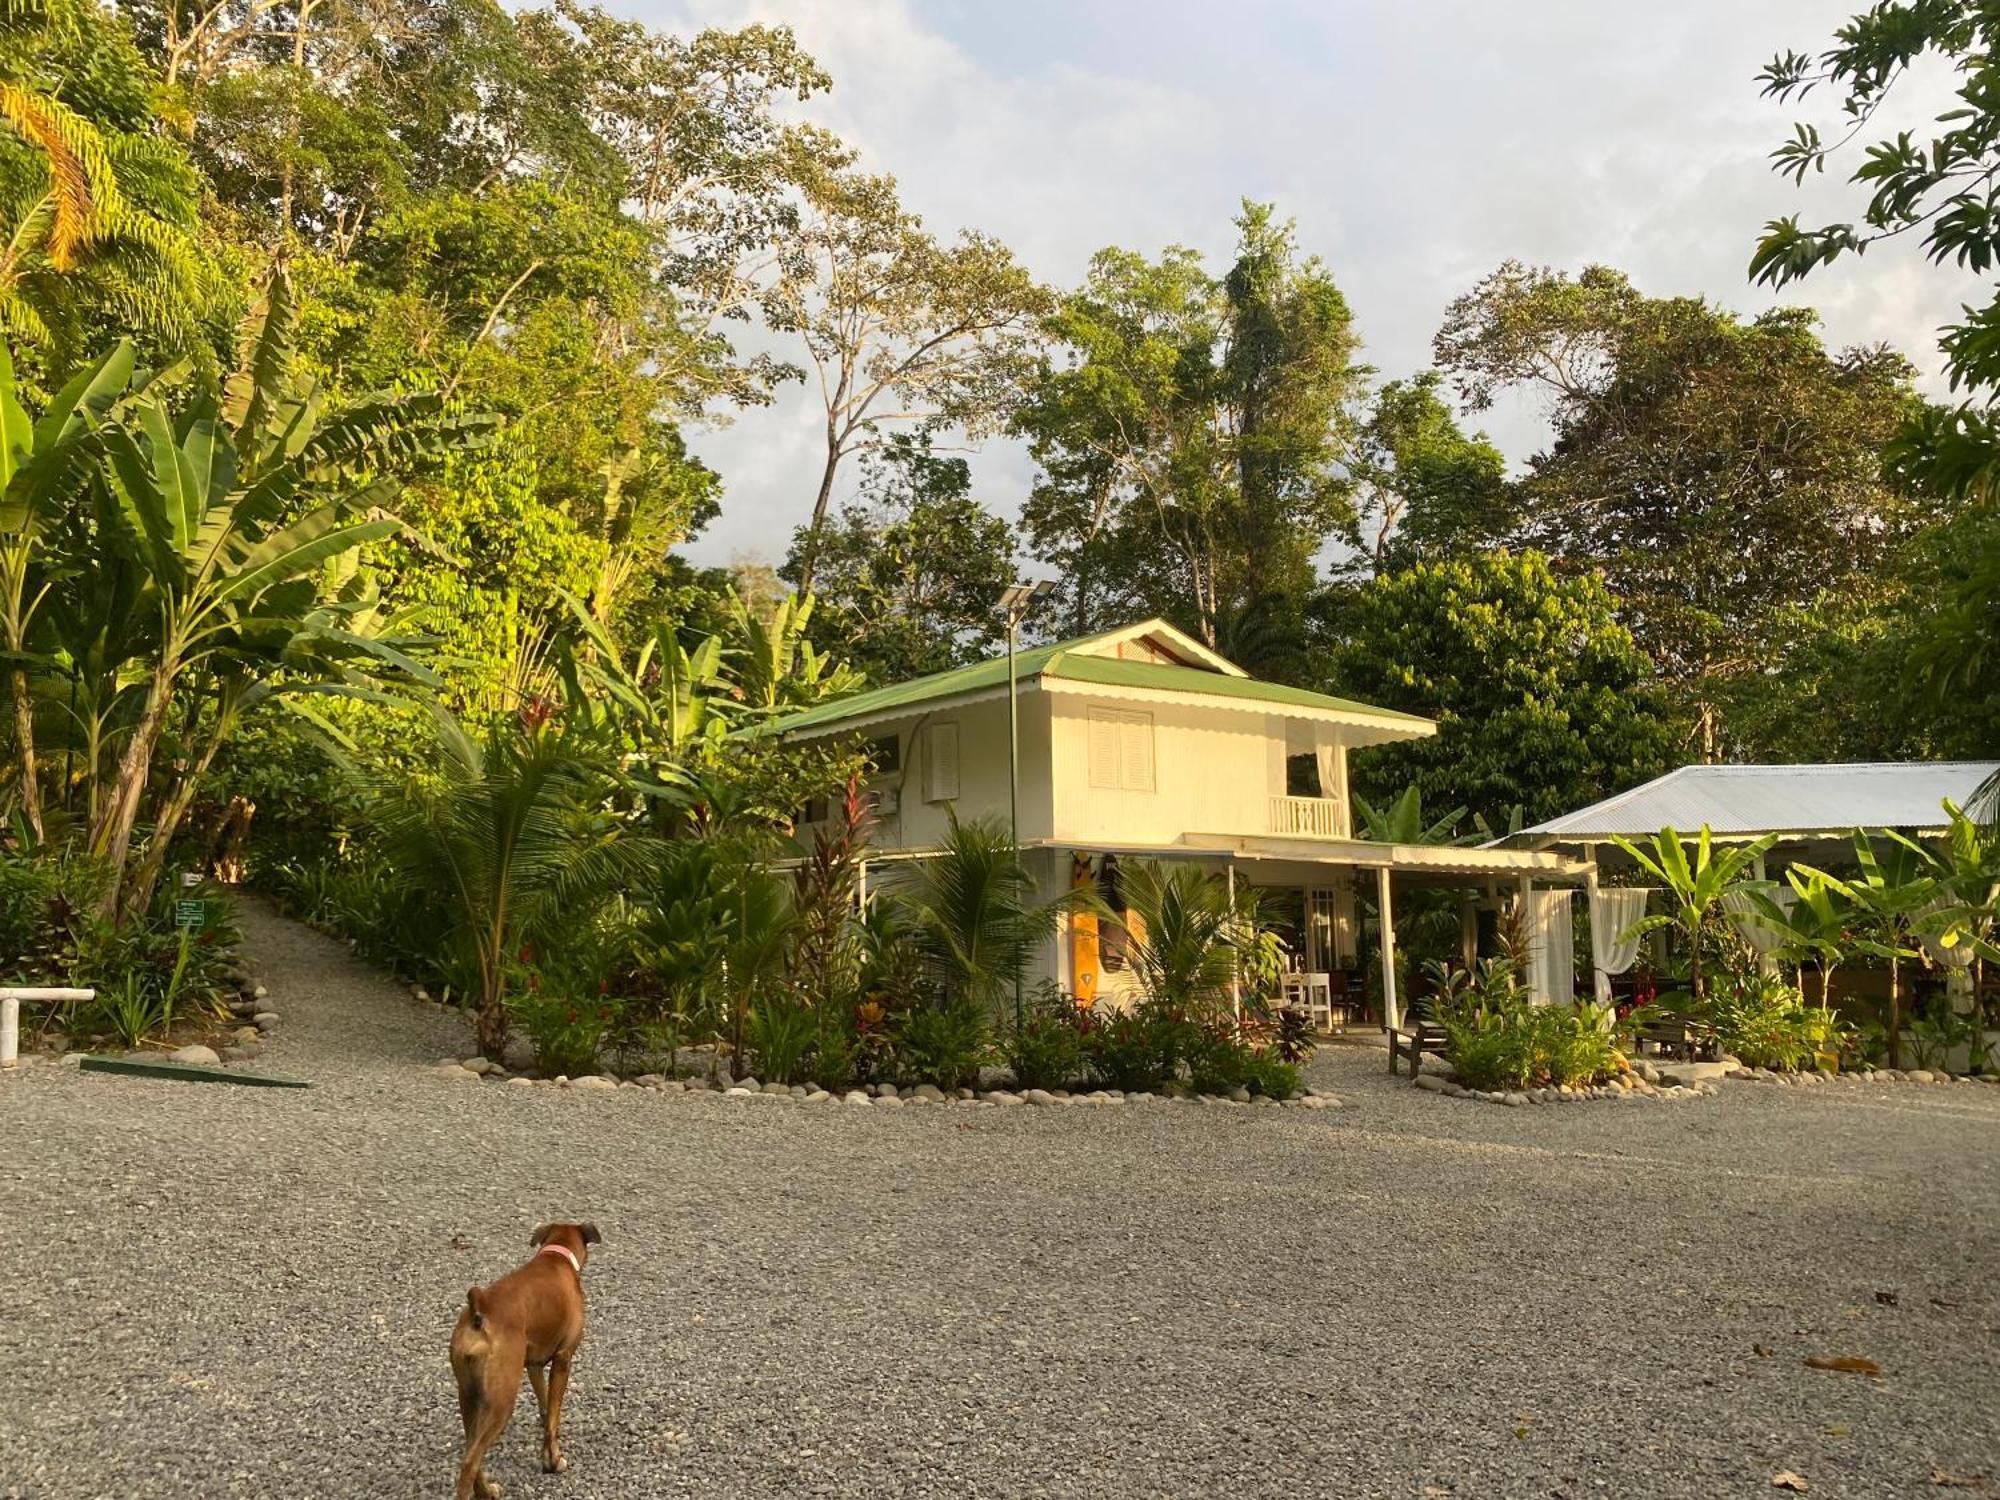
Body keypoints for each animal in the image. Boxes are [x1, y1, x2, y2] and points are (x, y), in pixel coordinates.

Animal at [454, 1224, 600, 1500]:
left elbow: (546, 1408)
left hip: (469, 1397)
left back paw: (486, 1490)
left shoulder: (534, 1365)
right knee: (470, 1461)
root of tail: (479, 1312)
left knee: (470, 1450)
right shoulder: (563, 1359)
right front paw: (553, 1462)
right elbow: (553, 1418)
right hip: (500, 1401)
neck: (556, 1256)